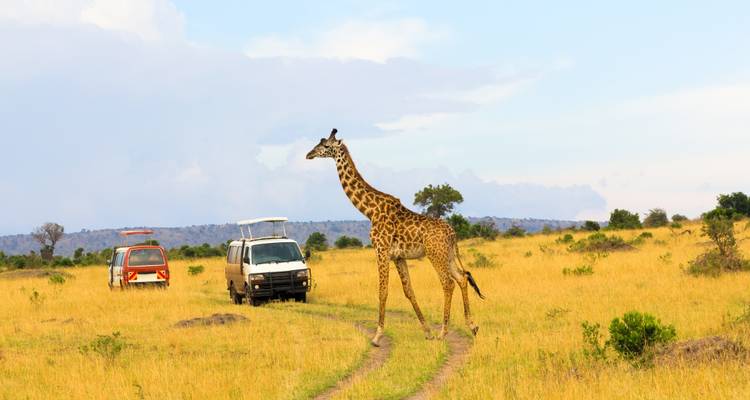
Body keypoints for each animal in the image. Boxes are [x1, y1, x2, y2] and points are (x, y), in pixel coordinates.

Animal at [306, 129, 485, 346]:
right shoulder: (398, 257)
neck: (370, 211)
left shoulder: (381, 250)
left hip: (435, 255)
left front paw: (377, 336)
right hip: (447, 255)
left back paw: (444, 332)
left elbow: (382, 291)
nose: (308, 154)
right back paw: (472, 326)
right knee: (462, 278)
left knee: (448, 283)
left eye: (325, 145)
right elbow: (409, 291)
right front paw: (427, 331)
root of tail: (453, 233)